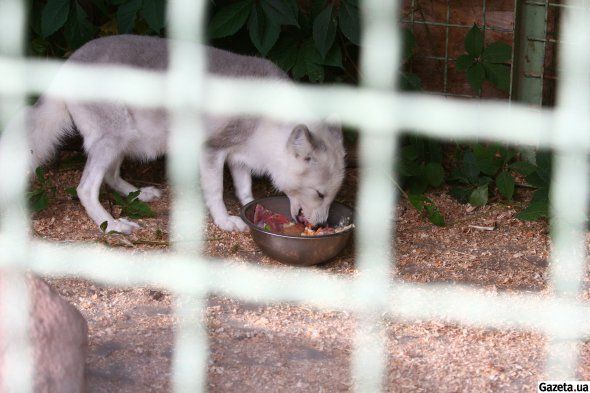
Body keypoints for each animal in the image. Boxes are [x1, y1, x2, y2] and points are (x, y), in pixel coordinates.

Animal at [3, 34, 346, 233]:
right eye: (319, 194)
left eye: (331, 196)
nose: (321, 225)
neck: (267, 121)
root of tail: (67, 65)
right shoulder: (212, 150)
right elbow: (216, 192)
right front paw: (224, 221)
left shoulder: (238, 155)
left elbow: (244, 188)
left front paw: (250, 207)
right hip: (113, 138)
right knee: (85, 189)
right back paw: (113, 224)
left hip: (127, 138)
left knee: (111, 175)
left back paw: (137, 194)